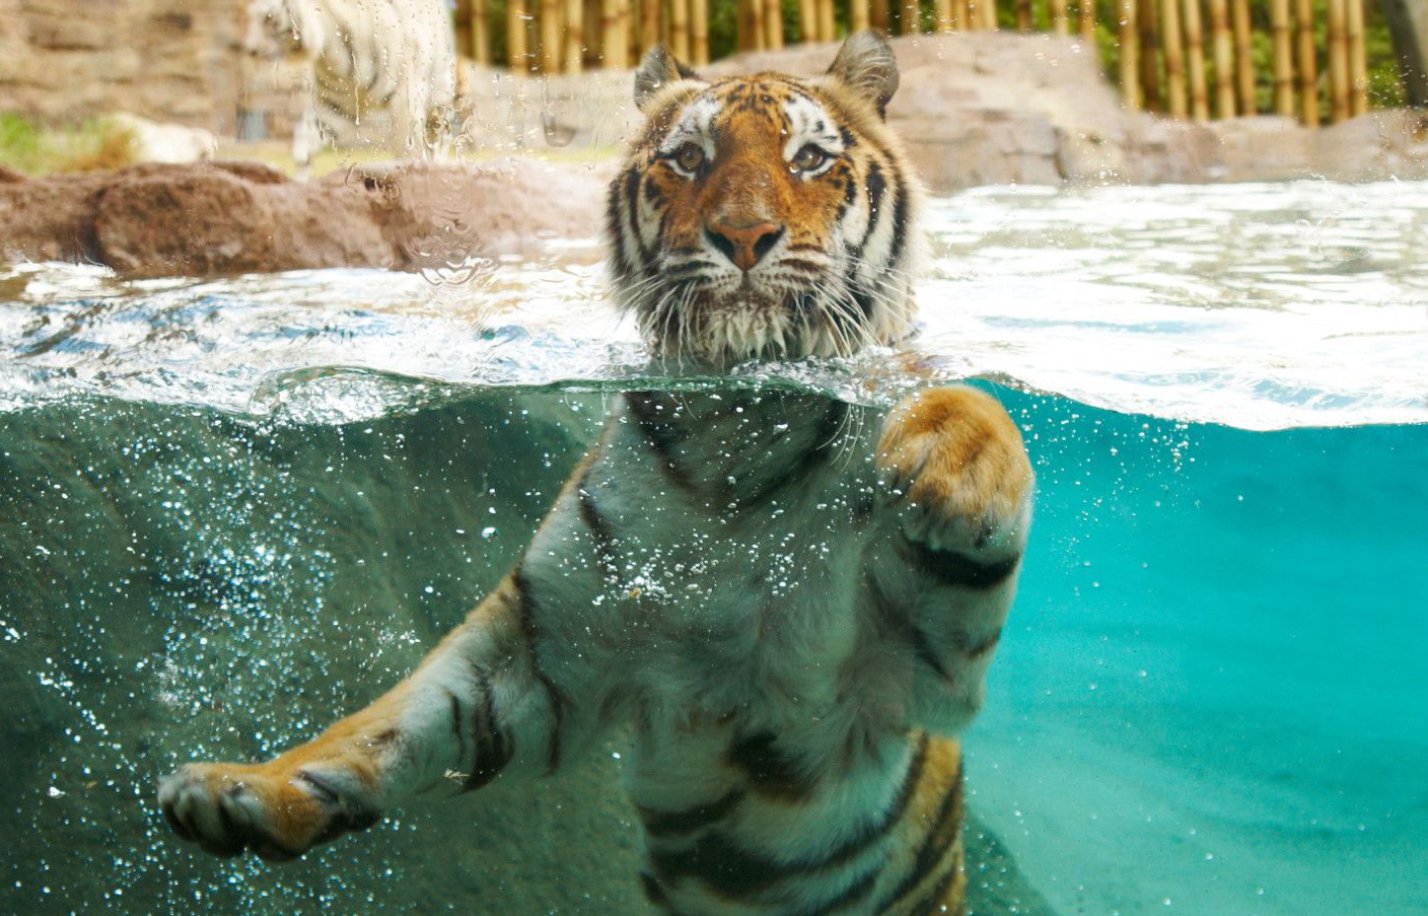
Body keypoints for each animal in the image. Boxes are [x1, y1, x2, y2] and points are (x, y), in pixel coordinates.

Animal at [160, 31, 1034, 915]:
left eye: (812, 157)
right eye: (689, 157)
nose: (744, 236)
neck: (732, 443)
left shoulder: (914, 676)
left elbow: (976, 427)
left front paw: (951, 451)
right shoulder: (543, 653)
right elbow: (392, 723)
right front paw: (242, 791)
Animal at [241, 0, 459, 169]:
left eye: (267, 18)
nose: (250, 51)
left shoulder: (403, 102)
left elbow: (407, 149)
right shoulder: (329, 111)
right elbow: (304, 152)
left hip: (438, 99)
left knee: (437, 141)